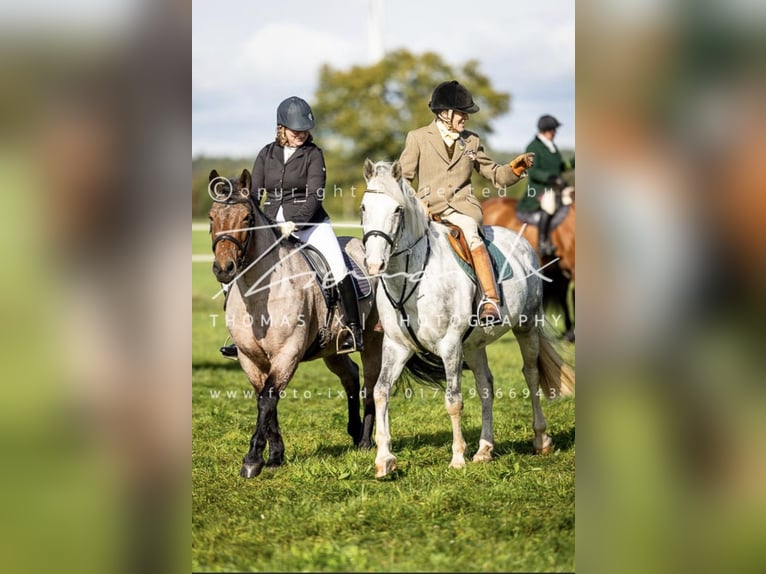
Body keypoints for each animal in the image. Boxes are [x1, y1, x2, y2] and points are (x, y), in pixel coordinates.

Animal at [207, 169, 384, 480]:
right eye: (211, 217)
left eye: (247, 218)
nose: (224, 269)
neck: (260, 295)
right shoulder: (249, 358)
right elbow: (265, 399)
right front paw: (275, 456)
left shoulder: (287, 353)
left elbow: (268, 398)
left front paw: (253, 460)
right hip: (331, 348)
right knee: (350, 375)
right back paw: (353, 433)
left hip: (373, 341)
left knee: (370, 385)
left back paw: (364, 441)